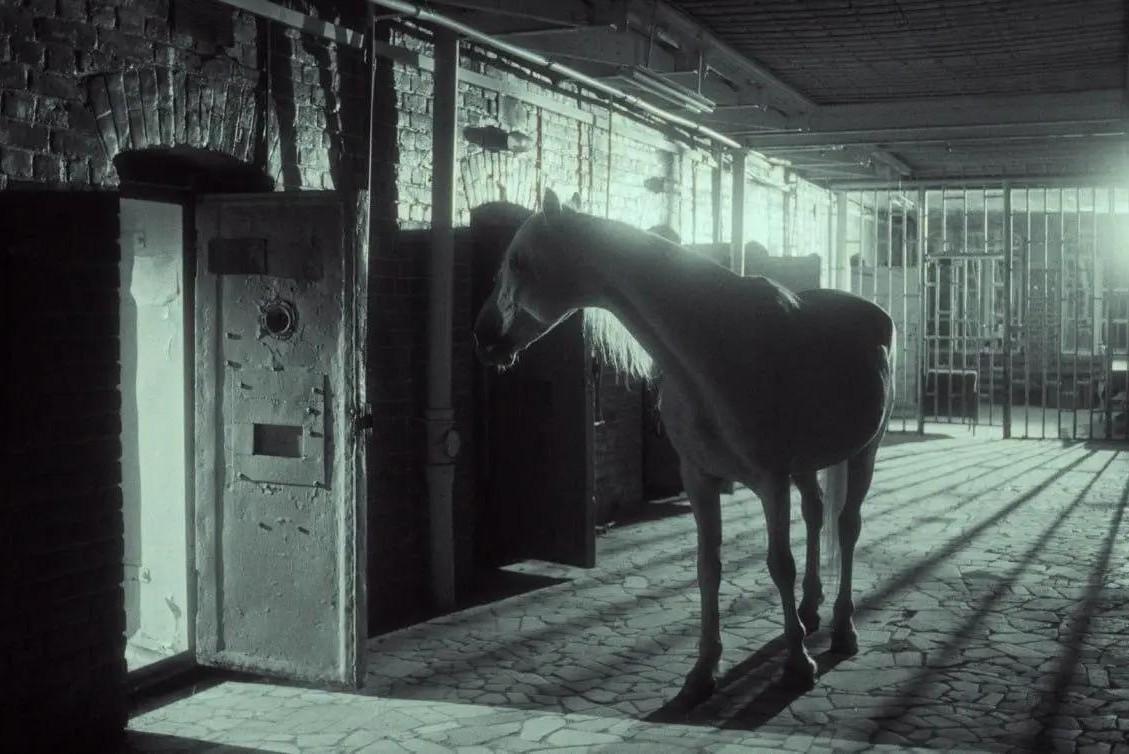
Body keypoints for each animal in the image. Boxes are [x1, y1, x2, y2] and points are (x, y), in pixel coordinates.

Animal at [473, 189, 895, 705]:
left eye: (517, 260)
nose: (482, 335)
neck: (712, 349)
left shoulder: (771, 482)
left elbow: (780, 564)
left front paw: (798, 665)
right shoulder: (700, 480)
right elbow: (707, 567)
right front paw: (702, 672)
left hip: (864, 453)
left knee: (847, 527)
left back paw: (842, 628)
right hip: (807, 464)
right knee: (815, 516)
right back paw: (810, 609)